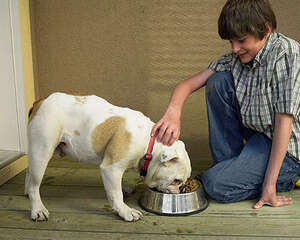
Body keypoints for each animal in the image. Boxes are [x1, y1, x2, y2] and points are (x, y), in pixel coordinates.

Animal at [25, 92, 190, 221]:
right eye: (176, 181)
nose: (182, 188)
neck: (149, 143)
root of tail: (40, 101)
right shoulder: (111, 167)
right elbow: (116, 195)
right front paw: (125, 211)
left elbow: (116, 186)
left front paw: (124, 188)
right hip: (42, 151)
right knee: (35, 184)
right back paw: (38, 209)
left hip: (37, 152)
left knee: (29, 172)